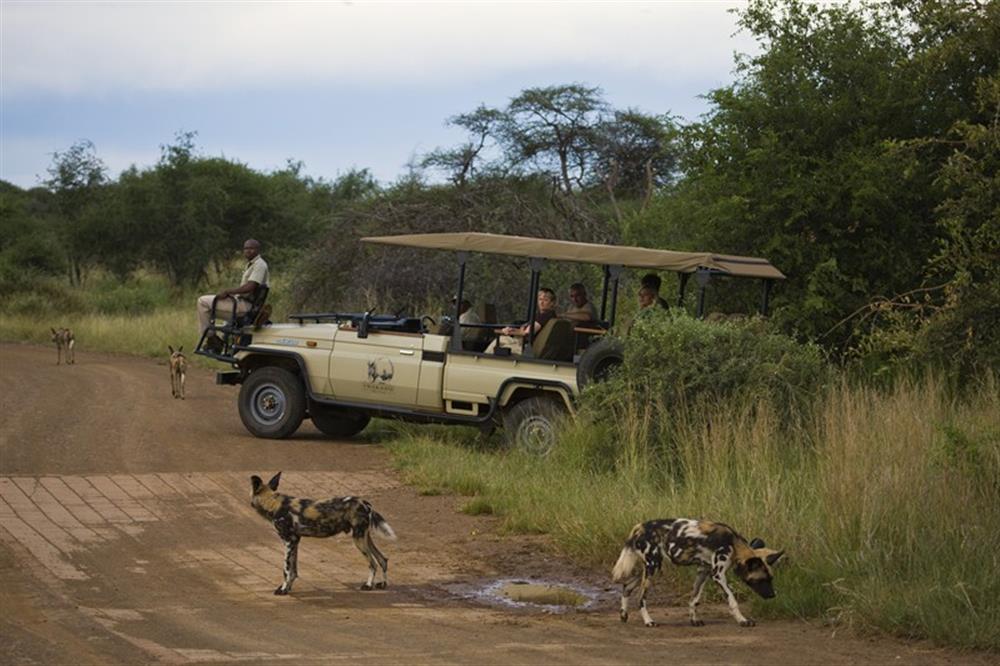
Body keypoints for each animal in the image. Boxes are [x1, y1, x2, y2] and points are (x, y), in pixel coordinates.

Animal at [248, 470, 396, 592]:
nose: (249, 503)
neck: (273, 503)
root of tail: (365, 503)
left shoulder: (289, 541)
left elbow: (286, 569)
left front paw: (284, 589)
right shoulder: (295, 541)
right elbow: (293, 571)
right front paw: (288, 587)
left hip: (358, 539)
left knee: (373, 563)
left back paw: (368, 585)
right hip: (364, 537)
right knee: (382, 559)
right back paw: (383, 584)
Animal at [612, 520, 784, 628]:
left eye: (771, 579)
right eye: (761, 580)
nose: (773, 595)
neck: (733, 543)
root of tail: (640, 527)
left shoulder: (704, 571)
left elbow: (694, 600)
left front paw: (694, 620)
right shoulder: (717, 575)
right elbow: (732, 600)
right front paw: (743, 620)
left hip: (652, 568)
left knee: (627, 586)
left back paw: (623, 615)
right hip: (652, 568)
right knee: (641, 598)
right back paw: (648, 621)